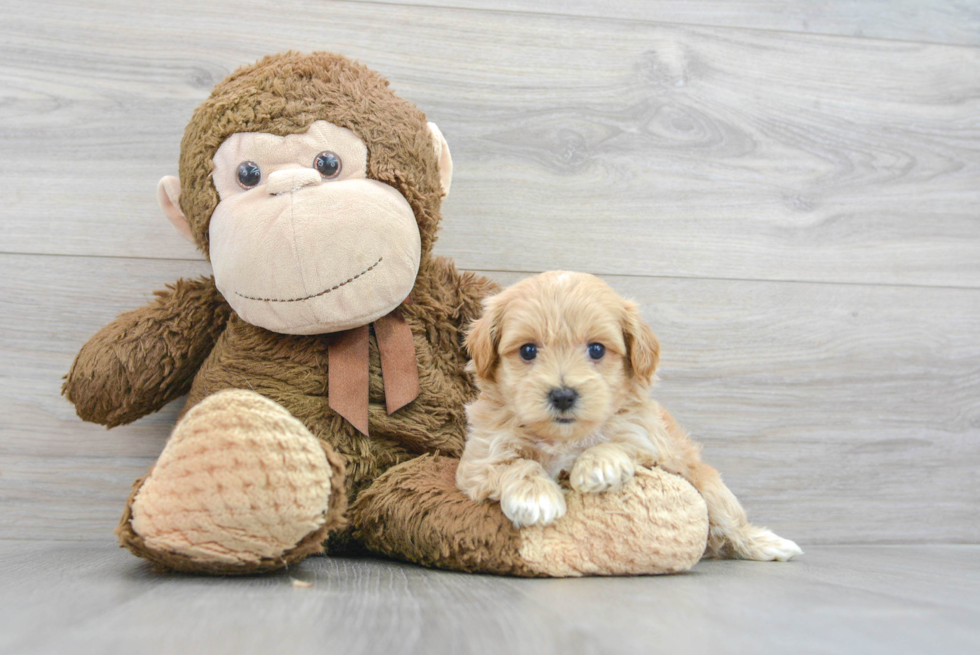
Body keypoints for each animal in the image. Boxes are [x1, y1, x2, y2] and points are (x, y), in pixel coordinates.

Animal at [456, 270, 800, 560]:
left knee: (731, 523)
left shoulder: (653, 446)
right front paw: (535, 497)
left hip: (712, 489)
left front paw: (598, 466)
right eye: (528, 351)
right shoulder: (480, 457)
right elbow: (515, 464)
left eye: (596, 349)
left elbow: (620, 441)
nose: (563, 395)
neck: (565, 438)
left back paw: (768, 544)